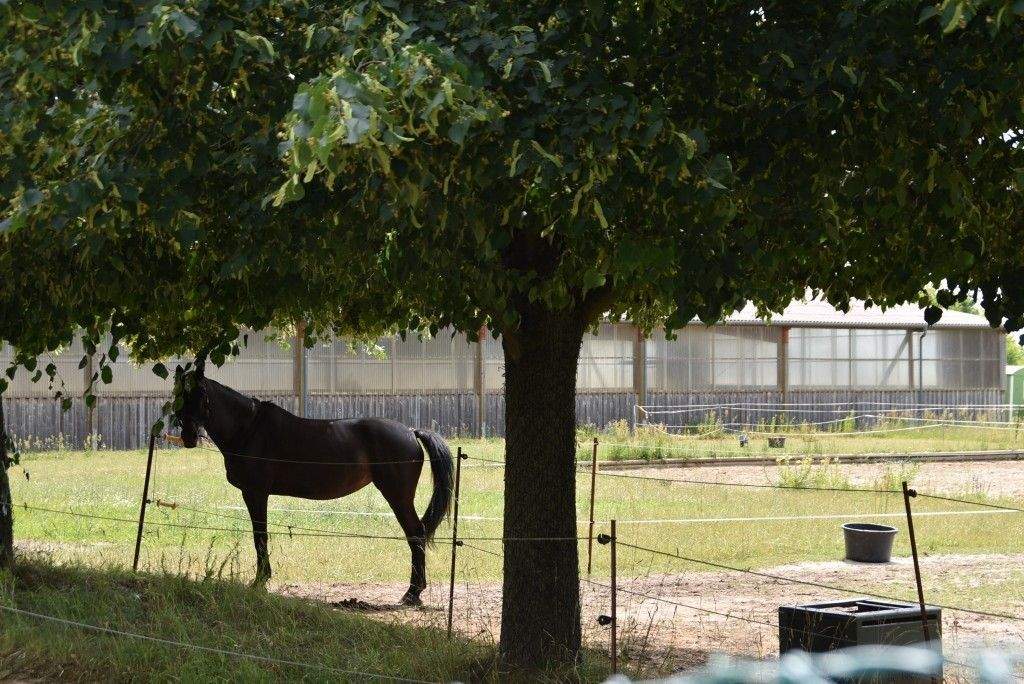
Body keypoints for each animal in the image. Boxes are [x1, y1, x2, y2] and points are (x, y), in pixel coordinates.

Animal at [175, 366, 453, 606]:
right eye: (179, 394)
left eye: (201, 395)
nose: (188, 436)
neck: (248, 429)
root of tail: (410, 431)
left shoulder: (255, 493)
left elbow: (260, 536)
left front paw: (260, 581)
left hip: (398, 497)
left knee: (415, 534)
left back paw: (412, 593)